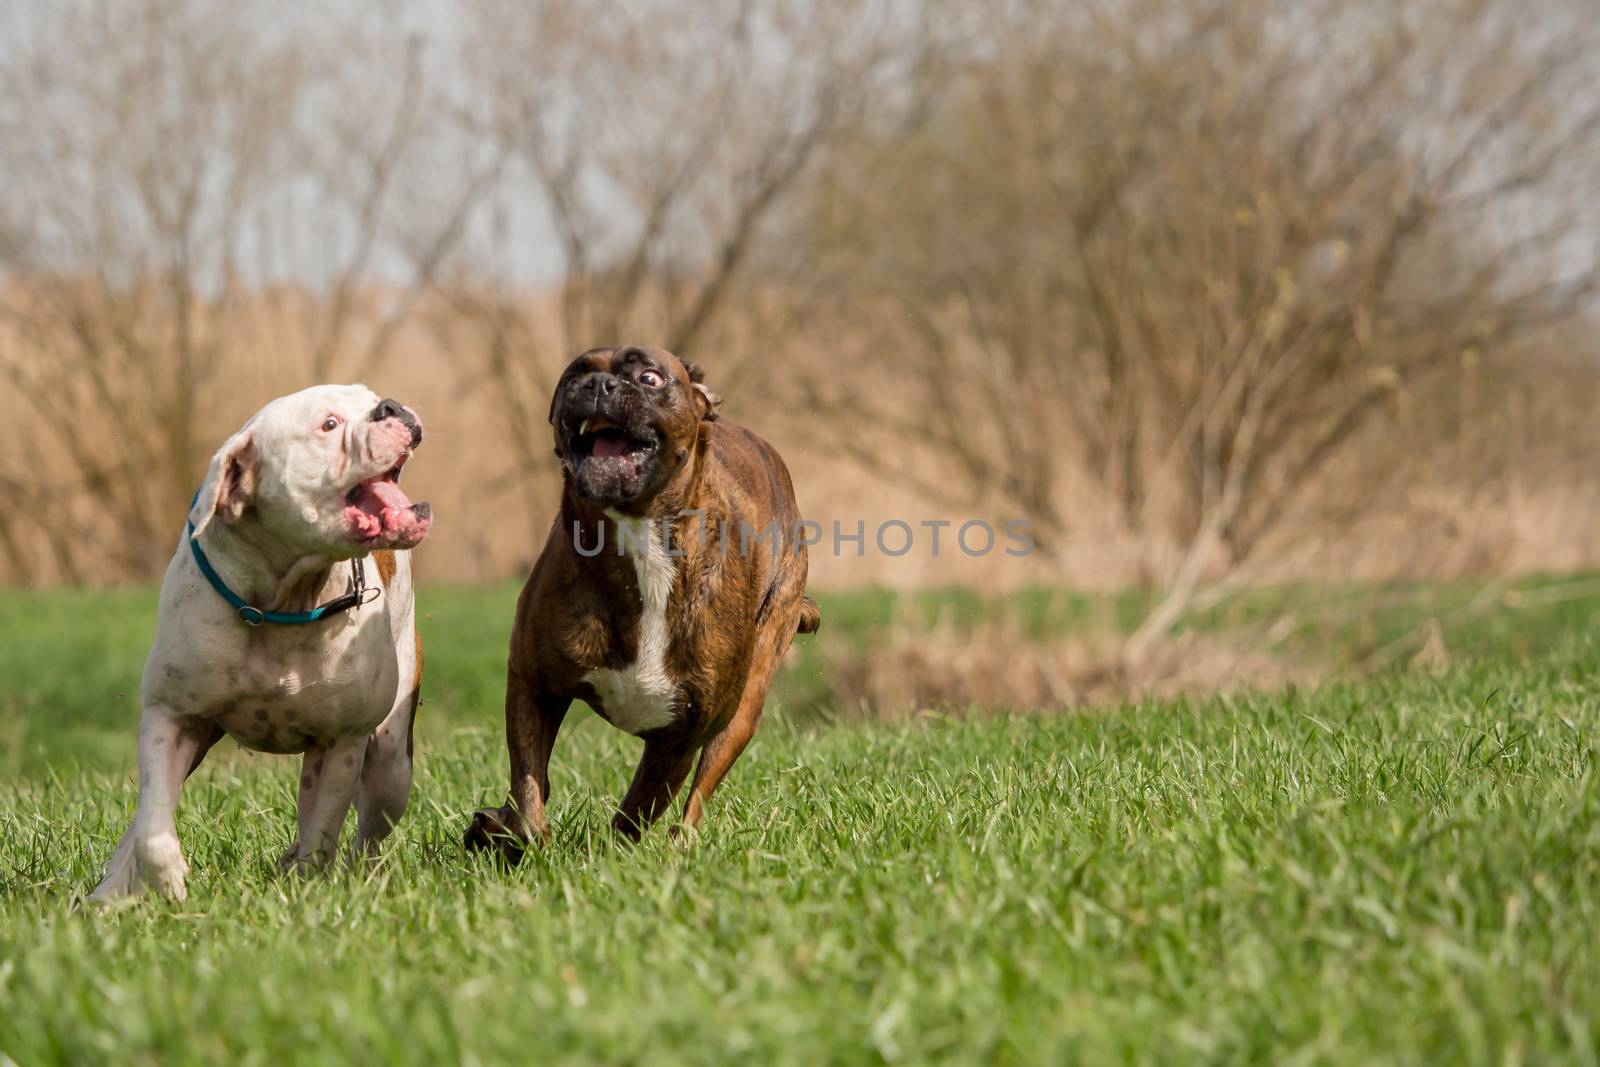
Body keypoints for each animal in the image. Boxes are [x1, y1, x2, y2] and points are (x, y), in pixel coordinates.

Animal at [89, 383, 432, 902]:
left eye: (370, 396)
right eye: (328, 425)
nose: (389, 407)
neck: (283, 599)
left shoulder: (342, 741)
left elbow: (322, 832)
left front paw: (308, 887)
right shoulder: (172, 717)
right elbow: (152, 825)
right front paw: (168, 881)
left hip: (391, 763)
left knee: (362, 835)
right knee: (143, 819)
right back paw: (108, 894)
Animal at [460, 350, 812, 857]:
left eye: (650, 377)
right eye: (574, 374)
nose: (599, 385)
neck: (639, 540)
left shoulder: (682, 736)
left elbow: (637, 809)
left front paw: (610, 855)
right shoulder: (534, 685)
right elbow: (529, 793)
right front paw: (508, 833)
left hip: (744, 708)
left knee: (696, 799)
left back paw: (682, 845)